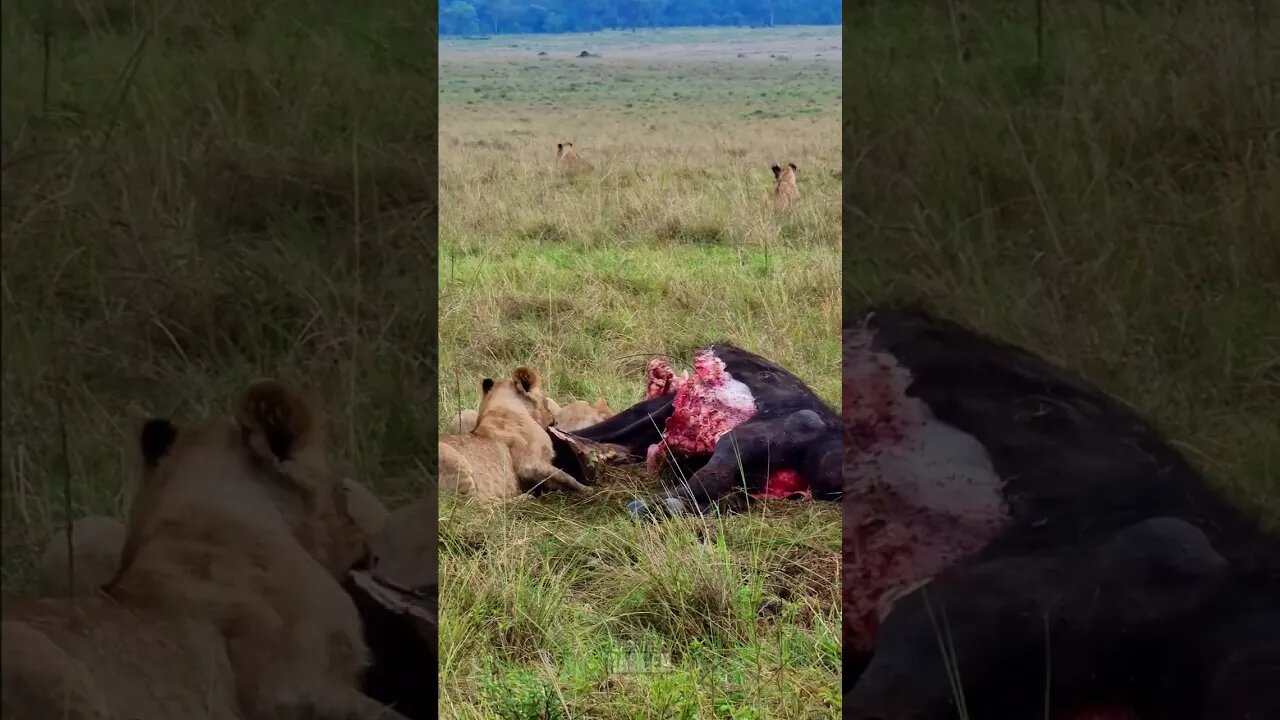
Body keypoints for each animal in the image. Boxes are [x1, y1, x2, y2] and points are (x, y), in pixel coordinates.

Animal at [440, 363, 593, 499]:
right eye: (545, 402)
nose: (554, 420)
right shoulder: (529, 465)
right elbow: (565, 477)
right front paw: (590, 491)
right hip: (453, 459)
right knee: (478, 505)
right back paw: (524, 499)